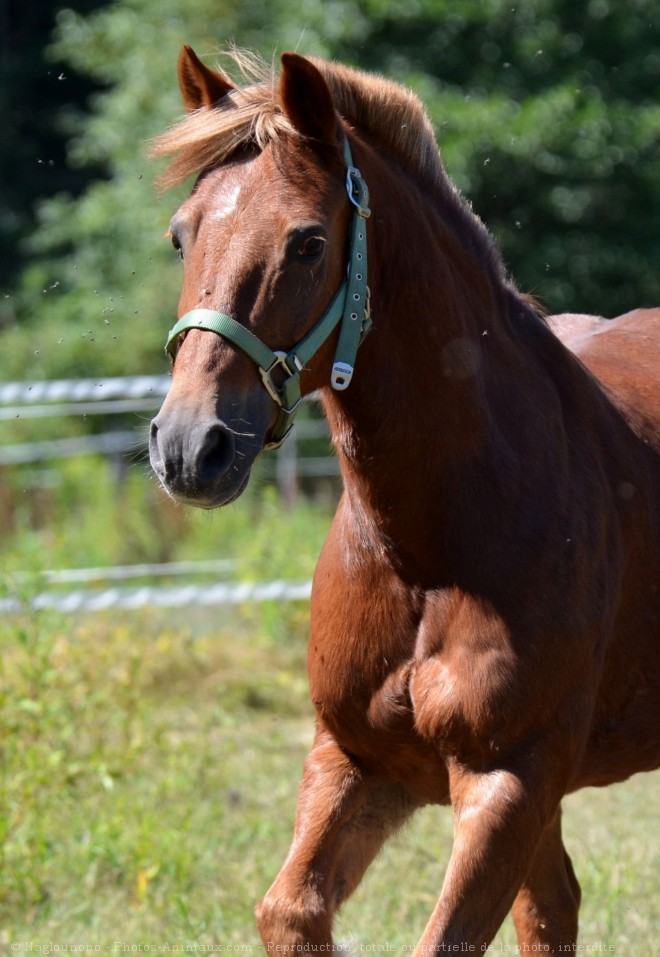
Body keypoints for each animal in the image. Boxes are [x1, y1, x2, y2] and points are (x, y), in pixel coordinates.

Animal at [150, 46, 660, 956]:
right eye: (183, 233)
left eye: (309, 242)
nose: (188, 446)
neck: (435, 542)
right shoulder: (355, 758)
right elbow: (288, 910)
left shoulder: (509, 778)